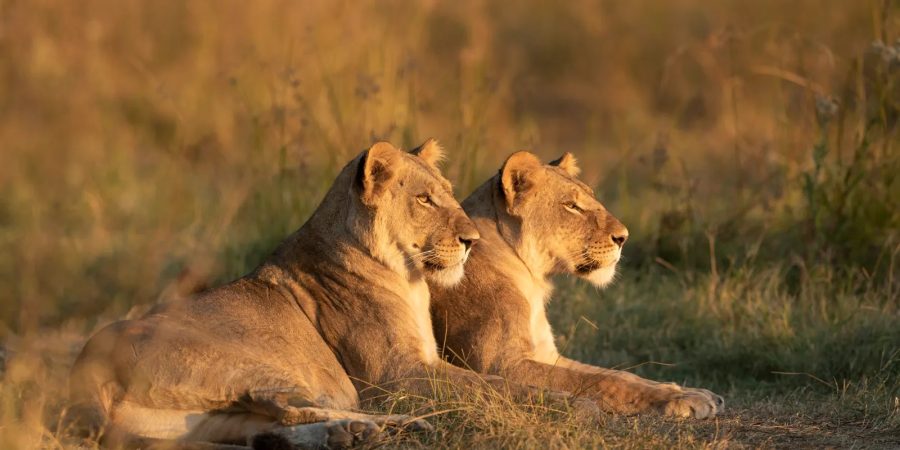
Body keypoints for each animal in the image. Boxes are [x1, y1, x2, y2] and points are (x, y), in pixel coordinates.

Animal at [69, 141, 585, 449]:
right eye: (423, 199)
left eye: (449, 193)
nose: (472, 240)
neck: (409, 277)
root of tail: (86, 361)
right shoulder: (396, 376)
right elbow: (495, 386)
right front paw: (575, 405)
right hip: (247, 366)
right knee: (287, 404)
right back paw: (375, 427)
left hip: (192, 425)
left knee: (267, 427)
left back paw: (352, 433)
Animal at [429, 151, 725, 419]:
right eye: (572, 206)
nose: (624, 237)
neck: (532, 281)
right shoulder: (498, 365)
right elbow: (604, 381)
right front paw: (683, 400)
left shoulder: (547, 354)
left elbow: (619, 374)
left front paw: (688, 391)